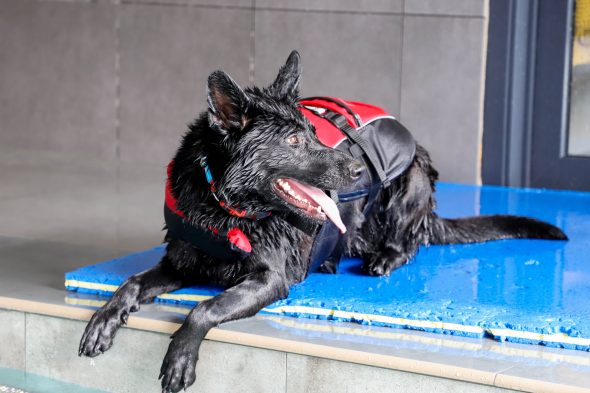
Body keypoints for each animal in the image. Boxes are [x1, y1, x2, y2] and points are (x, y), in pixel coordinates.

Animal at [80, 50, 568, 390]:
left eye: (314, 133)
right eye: (294, 141)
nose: (357, 170)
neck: (225, 206)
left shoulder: (271, 279)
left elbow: (204, 307)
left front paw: (180, 355)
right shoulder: (180, 262)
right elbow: (132, 283)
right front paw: (106, 316)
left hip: (408, 182)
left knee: (409, 242)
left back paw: (384, 257)